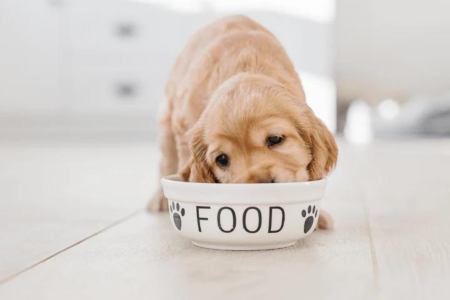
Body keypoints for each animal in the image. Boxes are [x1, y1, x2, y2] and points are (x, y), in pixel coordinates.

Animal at [148, 15, 338, 229]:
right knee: (166, 161)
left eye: (275, 139)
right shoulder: (183, 127)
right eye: (222, 159)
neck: (245, 67)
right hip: (166, 122)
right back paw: (159, 199)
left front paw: (318, 217)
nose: (262, 184)